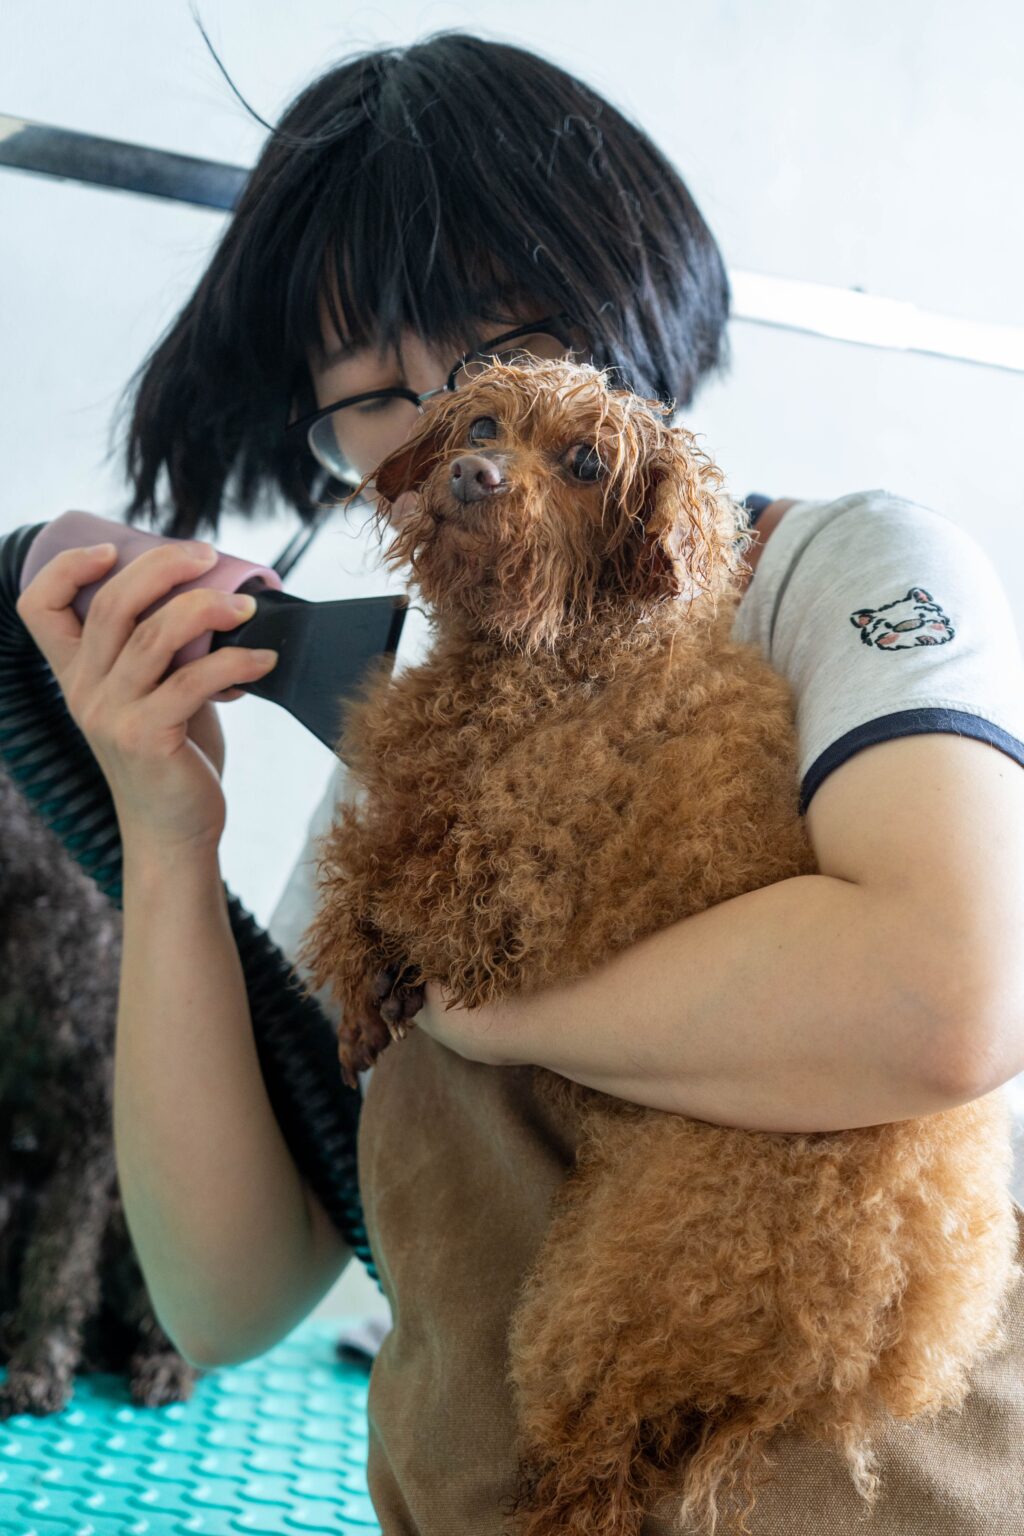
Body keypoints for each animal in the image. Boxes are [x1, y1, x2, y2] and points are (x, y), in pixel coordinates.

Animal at [294, 356, 1019, 1536]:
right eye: (480, 424)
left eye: (588, 463)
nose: (475, 474)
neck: (563, 655)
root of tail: (870, 1349)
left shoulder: (508, 895)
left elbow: (377, 882)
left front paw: (363, 987)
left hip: (599, 1312)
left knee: (587, 1475)